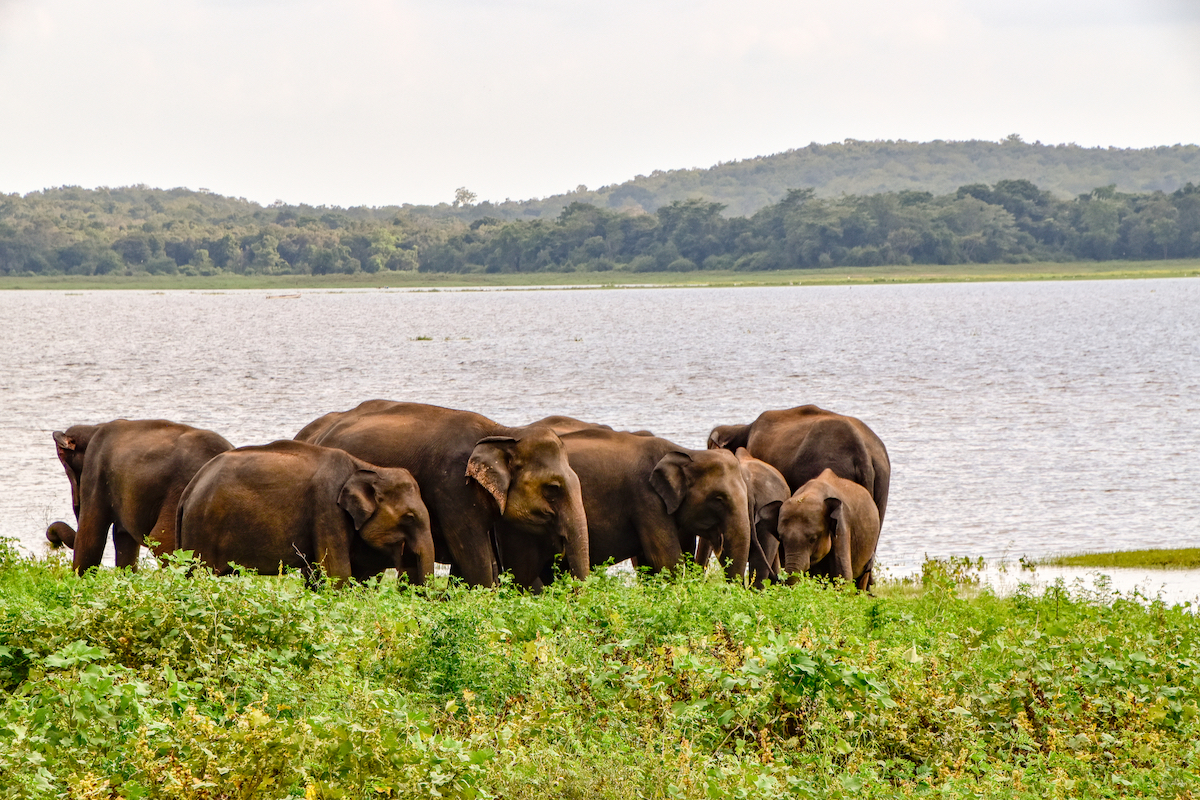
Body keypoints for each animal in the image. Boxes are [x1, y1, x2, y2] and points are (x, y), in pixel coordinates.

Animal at [48, 419, 233, 574]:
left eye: (65, 464)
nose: (55, 541)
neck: (94, 428)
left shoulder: (95, 471)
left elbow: (90, 540)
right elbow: (123, 538)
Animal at [177, 440, 433, 587]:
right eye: (409, 518)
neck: (369, 467)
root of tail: (189, 489)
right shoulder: (327, 509)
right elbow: (337, 574)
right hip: (203, 530)